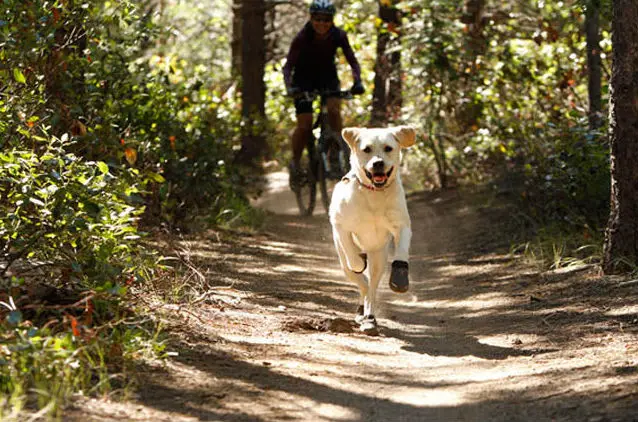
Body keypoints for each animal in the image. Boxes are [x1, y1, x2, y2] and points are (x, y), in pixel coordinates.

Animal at [330, 124, 420, 332]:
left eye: (388, 148)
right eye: (367, 149)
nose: (378, 163)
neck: (374, 193)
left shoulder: (401, 224)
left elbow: (402, 249)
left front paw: (400, 277)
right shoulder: (340, 226)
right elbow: (352, 256)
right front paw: (358, 261)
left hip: (378, 257)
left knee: (371, 288)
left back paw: (369, 317)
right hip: (343, 263)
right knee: (361, 282)